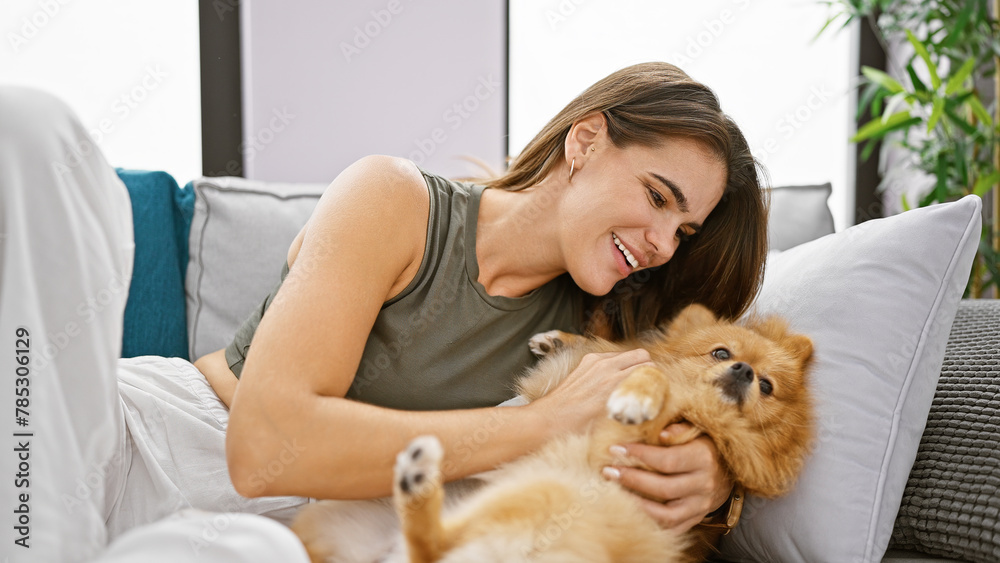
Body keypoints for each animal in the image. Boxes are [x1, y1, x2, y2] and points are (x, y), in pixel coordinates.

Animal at [292, 306, 816, 560]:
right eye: (721, 353)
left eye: (768, 387)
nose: (745, 372)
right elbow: (615, 353)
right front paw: (558, 340)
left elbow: (656, 379)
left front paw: (637, 396)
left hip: (544, 495)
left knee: (432, 550)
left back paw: (418, 481)